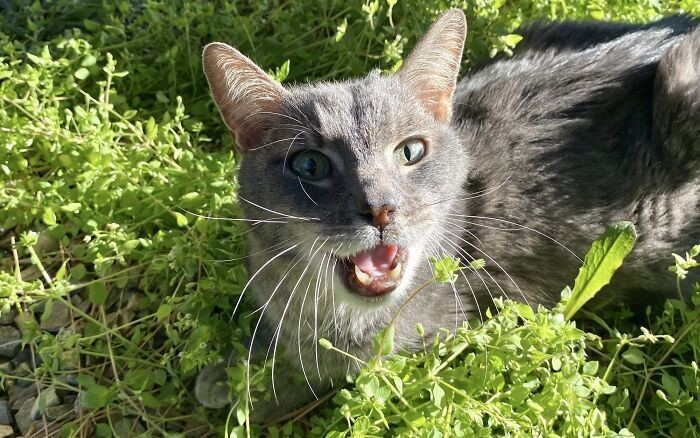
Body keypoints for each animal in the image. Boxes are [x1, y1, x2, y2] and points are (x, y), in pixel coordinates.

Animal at [196, 10, 700, 420]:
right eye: (310, 166)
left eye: (410, 151)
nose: (381, 208)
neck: (335, 316)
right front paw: (238, 371)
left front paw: (242, 386)